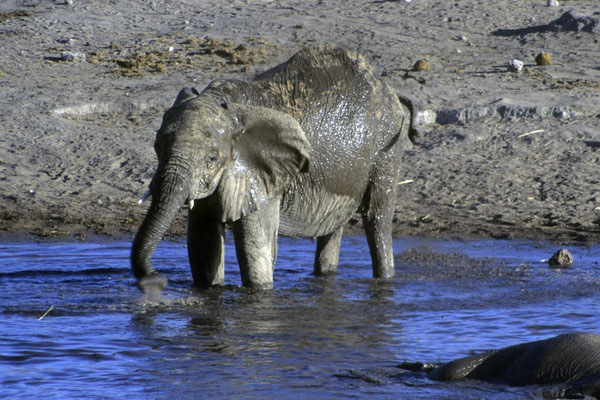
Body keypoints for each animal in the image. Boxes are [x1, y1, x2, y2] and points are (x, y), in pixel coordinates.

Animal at [130, 45, 412, 292]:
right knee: (334, 227)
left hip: (387, 144)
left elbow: (256, 251)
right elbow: (203, 246)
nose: (157, 279)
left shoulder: (262, 176)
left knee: (377, 217)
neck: (226, 107)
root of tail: (386, 86)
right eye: (157, 146)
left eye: (211, 158)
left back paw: (385, 277)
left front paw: (262, 291)